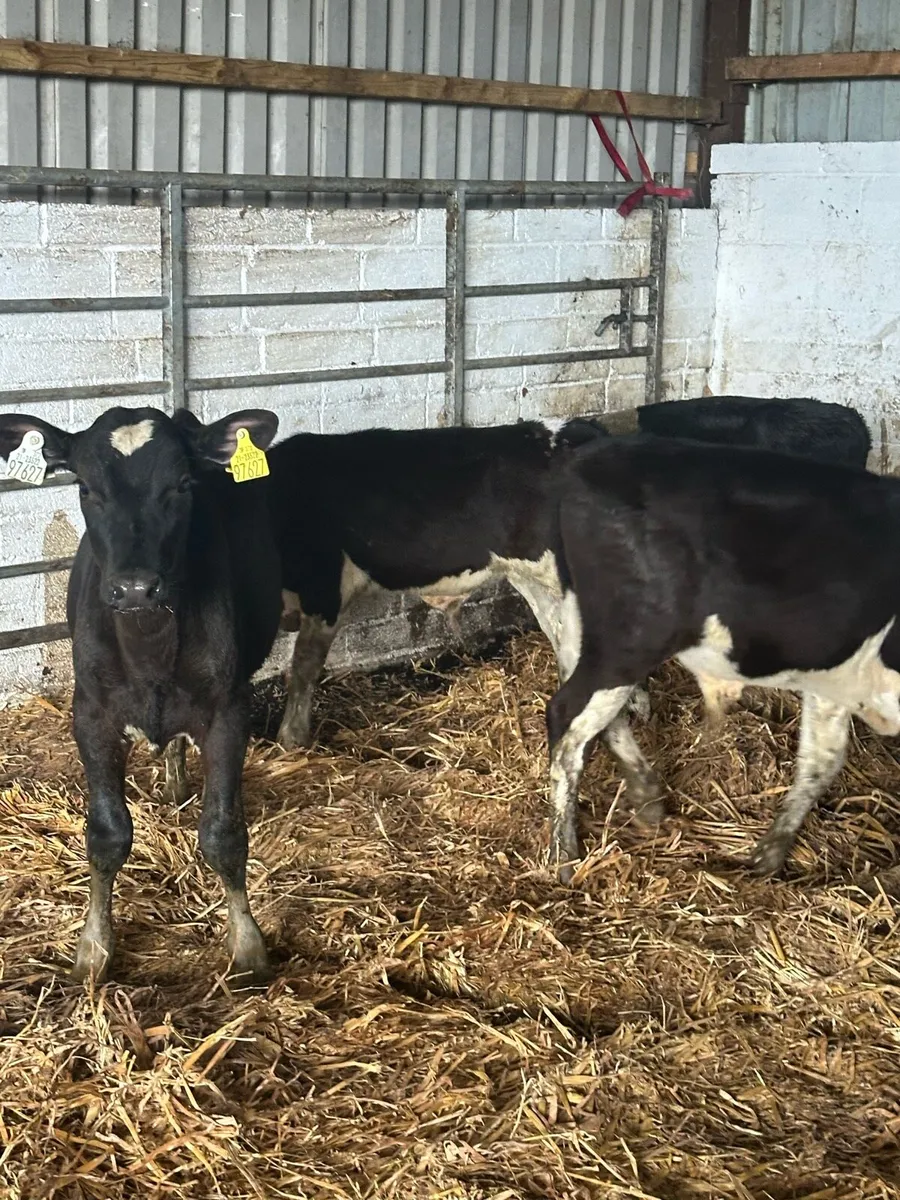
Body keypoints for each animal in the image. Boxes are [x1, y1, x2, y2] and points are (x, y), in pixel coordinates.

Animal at [0, 405, 282, 985]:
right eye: (85, 487)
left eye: (183, 484)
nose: (135, 587)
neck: (150, 646)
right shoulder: (90, 714)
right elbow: (108, 834)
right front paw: (94, 948)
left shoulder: (229, 710)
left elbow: (223, 834)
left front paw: (247, 945)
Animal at [546, 433, 898, 884]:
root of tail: (592, 455)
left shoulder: (835, 673)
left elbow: (822, 759)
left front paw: (771, 853)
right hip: (633, 636)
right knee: (567, 717)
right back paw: (564, 855)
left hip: (586, 625)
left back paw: (645, 795)